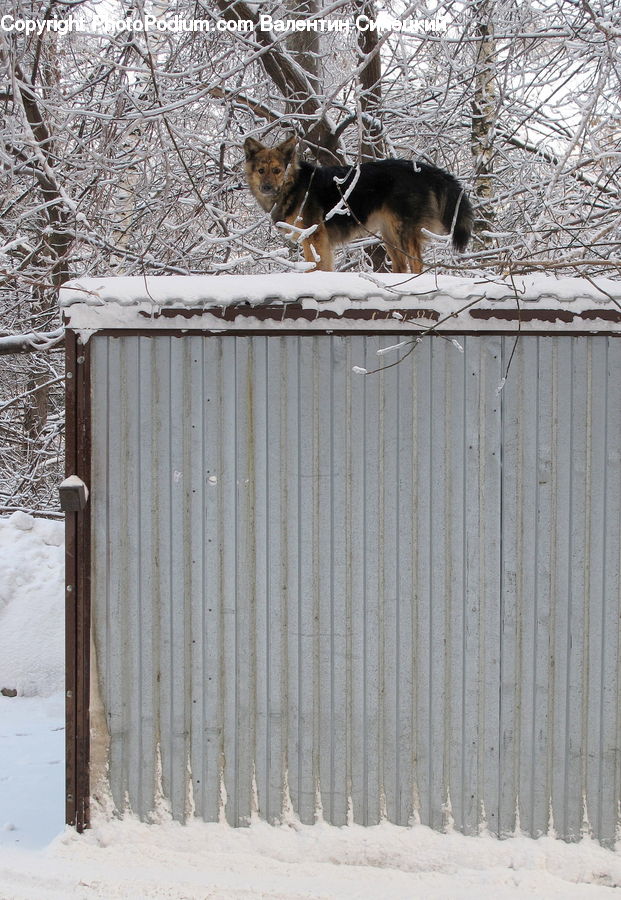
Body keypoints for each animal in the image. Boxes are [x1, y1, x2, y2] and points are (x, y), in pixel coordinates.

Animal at [243, 134, 473, 273]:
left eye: (277, 170)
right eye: (261, 171)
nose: (266, 187)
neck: (295, 185)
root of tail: (421, 169)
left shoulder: (315, 236)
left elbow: (318, 266)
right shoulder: (310, 239)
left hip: (402, 230)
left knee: (415, 262)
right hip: (389, 233)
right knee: (401, 265)